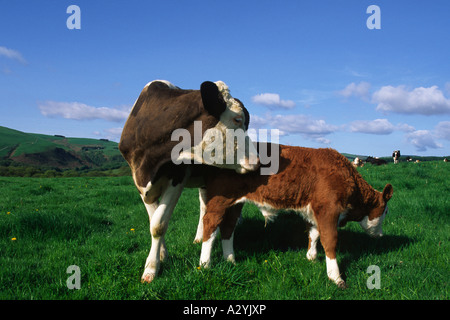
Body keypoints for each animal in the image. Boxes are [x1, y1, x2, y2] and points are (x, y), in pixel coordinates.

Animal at [118, 80, 260, 282]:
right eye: (237, 120)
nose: (257, 160)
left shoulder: (177, 176)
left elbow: (158, 224)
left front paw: (151, 268)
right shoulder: (139, 181)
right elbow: (154, 220)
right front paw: (161, 255)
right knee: (204, 205)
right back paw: (200, 237)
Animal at [199, 144, 392, 288]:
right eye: (386, 211)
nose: (381, 235)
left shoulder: (315, 211)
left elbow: (314, 233)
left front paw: (311, 257)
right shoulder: (328, 209)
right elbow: (330, 240)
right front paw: (336, 277)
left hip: (235, 204)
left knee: (228, 228)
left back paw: (230, 259)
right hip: (219, 200)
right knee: (210, 224)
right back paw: (205, 264)